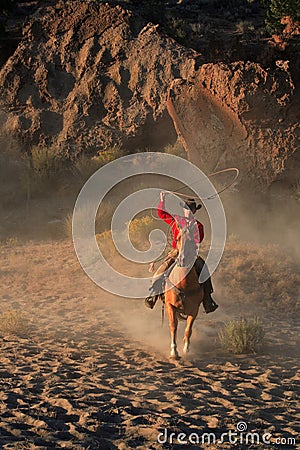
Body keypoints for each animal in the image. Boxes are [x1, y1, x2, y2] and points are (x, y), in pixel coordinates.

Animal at [164, 225, 204, 358]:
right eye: (178, 238)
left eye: (192, 239)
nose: (182, 259)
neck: (184, 283)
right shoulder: (170, 306)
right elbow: (173, 326)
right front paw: (174, 351)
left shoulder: (194, 309)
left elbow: (188, 329)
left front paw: (186, 348)